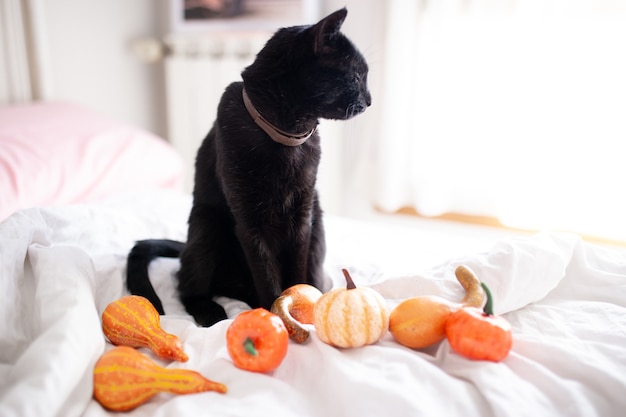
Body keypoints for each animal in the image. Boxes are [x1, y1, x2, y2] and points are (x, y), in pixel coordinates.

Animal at [127, 7, 370, 324]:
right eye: (356, 76)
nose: (370, 100)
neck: (286, 136)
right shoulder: (249, 220)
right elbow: (266, 273)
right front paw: (277, 315)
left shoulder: (303, 215)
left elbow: (295, 270)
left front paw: (298, 304)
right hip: (207, 225)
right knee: (186, 286)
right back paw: (212, 312)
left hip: (318, 226)